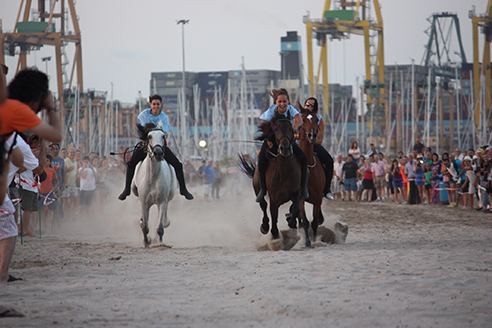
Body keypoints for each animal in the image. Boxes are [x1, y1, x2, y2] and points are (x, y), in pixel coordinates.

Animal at [238, 111, 312, 247]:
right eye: (276, 129)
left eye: (291, 128)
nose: (285, 148)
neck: (284, 172)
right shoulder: (274, 197)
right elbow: (273, 216)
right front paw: (275, 235)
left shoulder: (297, 193)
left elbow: (294, 210)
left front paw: (291, 225)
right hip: (258, 188)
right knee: (263, 205)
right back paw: (264, 226)